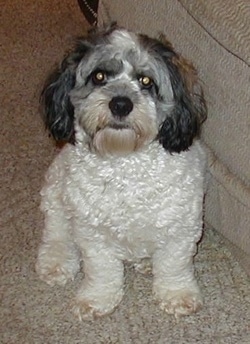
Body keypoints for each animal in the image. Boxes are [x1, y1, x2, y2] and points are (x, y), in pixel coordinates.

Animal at [35, 25, 207, 322]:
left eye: (146, 81)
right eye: (99, 76)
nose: (120, 104)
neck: (125, 162)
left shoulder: (182, 227)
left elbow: (174, 265)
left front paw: (177, 294)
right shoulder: (92, 233)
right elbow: (102, 270)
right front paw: (96, 298)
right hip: (56, 191)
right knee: (57, 231)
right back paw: (56, 261)